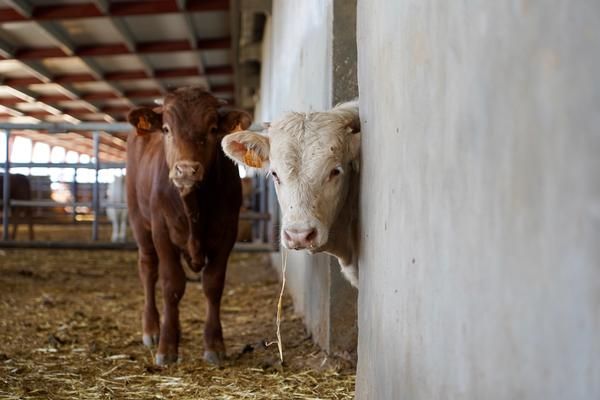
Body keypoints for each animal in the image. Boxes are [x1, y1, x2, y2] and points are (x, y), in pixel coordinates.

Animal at [125, 88, 250, 366]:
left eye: (213, 129)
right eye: (166, 129)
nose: (186, 170)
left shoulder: (227, 232)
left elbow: (213, 285)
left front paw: (214, 344)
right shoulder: (161, 231)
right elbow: (172, 285)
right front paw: (167, 346)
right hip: (139, 221)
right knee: (148, 269)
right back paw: (152, 328)